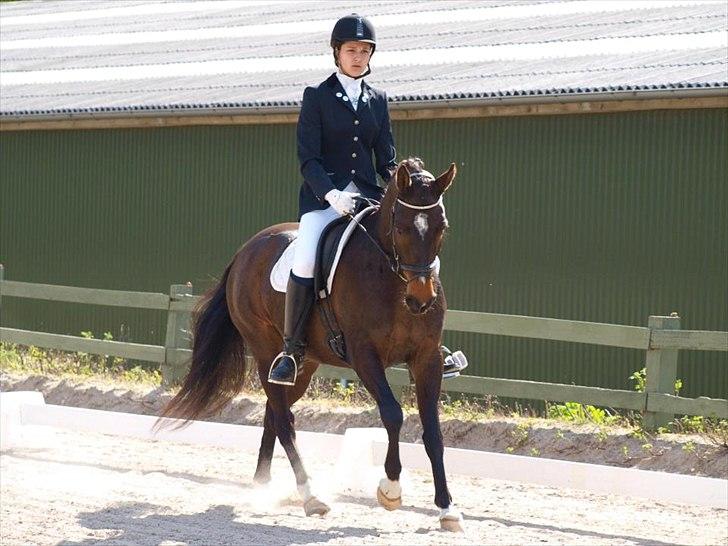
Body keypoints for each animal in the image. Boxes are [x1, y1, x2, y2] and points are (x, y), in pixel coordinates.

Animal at [157, 158, 463, 532]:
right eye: (402, 228)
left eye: (441, 228)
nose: (421, 300)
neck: (391, 281)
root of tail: (246, 250)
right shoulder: (365, 356)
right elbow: (393, 414)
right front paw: (390, 490)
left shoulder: (426, 358)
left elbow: (433, 432)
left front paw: (447, 508)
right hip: (265, 351)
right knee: (284, 419)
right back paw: (310, 495)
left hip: (305, 364)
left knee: (273, 413)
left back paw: (262, 486)